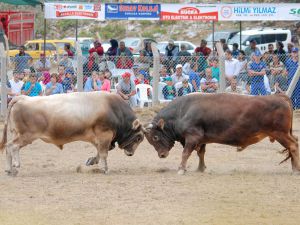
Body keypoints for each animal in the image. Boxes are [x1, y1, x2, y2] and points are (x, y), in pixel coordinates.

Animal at [144, 92, 298, 174]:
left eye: (155, 137)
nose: (162, 155)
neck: (183, 111)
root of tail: (280, 96)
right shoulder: (202, 139)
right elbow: (201, 153)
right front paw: (200, 168)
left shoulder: (192, 137)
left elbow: (186, 153)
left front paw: (181, 169)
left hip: (280, 133)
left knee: (293, 145)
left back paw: (296, 169)